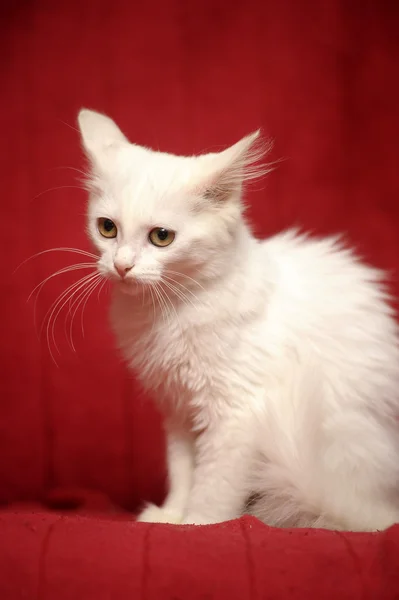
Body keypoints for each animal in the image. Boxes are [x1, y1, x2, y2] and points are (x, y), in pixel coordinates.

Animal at [76, 109, 399, 528]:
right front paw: (172, 515)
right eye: (107, 228)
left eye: (161, 237)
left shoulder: (236, 414)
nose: (121, 266)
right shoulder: (179, 413)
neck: (168, 312)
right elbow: (183, 471)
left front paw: (198, 523)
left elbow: (215, 485)